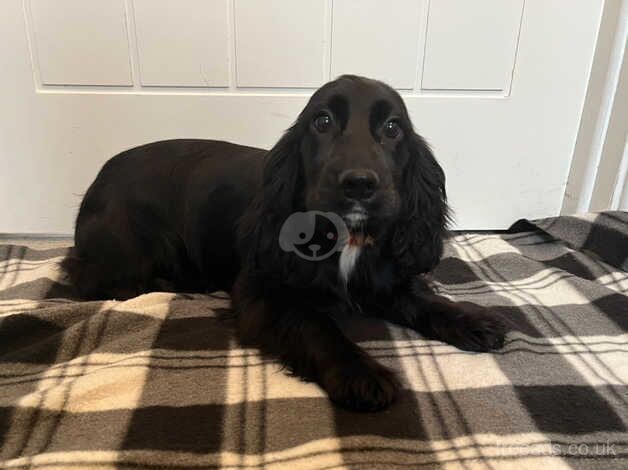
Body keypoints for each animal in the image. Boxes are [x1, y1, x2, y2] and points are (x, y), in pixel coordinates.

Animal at [63, 75, 506, 410]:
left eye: (393, 128)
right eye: (322, 121)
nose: (359, 183)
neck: (345, 238)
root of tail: (99, 176)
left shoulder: (384, 277)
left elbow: (423, 300)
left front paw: (473, 320)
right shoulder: (262, 293)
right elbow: (317, 325)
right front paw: (360, 373)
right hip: (127, 249)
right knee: (95, 279)